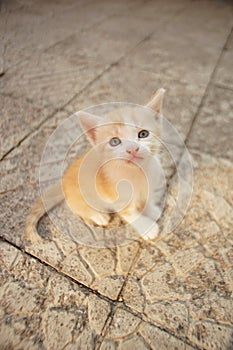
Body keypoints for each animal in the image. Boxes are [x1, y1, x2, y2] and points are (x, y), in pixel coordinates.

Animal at [25, 88, 166, 243]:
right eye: (115, 142)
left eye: (143, 134)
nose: (132, 149)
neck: (138, 172)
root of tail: (63, 181)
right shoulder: (117, 198)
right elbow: (131, 214)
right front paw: (148, 228)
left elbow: (147, 199)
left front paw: (151, 210)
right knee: (78, 209)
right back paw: (98, 216)